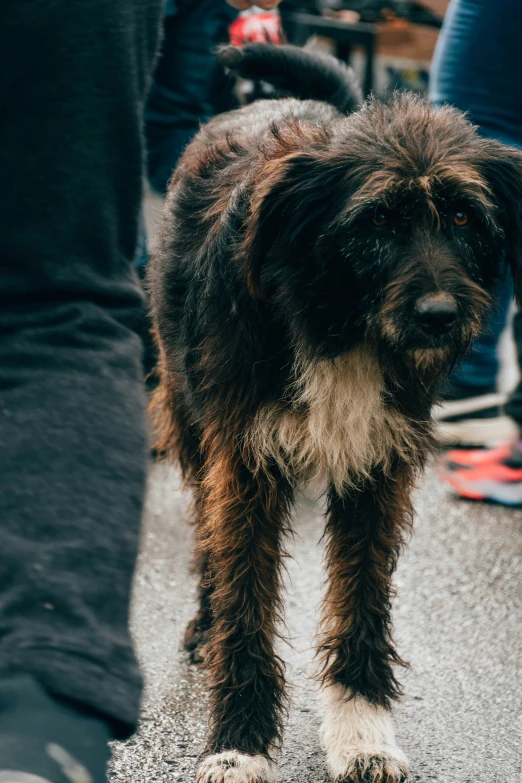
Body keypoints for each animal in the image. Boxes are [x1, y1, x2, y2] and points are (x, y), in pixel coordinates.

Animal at [145, 44, 520, 783]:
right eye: (377, 221)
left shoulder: (376, 468)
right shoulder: (245, 463)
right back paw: (205, 624)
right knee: (207, 535)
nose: (441, 316)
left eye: (464, 218)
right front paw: (237, 741)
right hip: (191, 418)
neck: (340, 322)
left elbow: (362, 606)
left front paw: (363, 732)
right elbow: (245, 600)